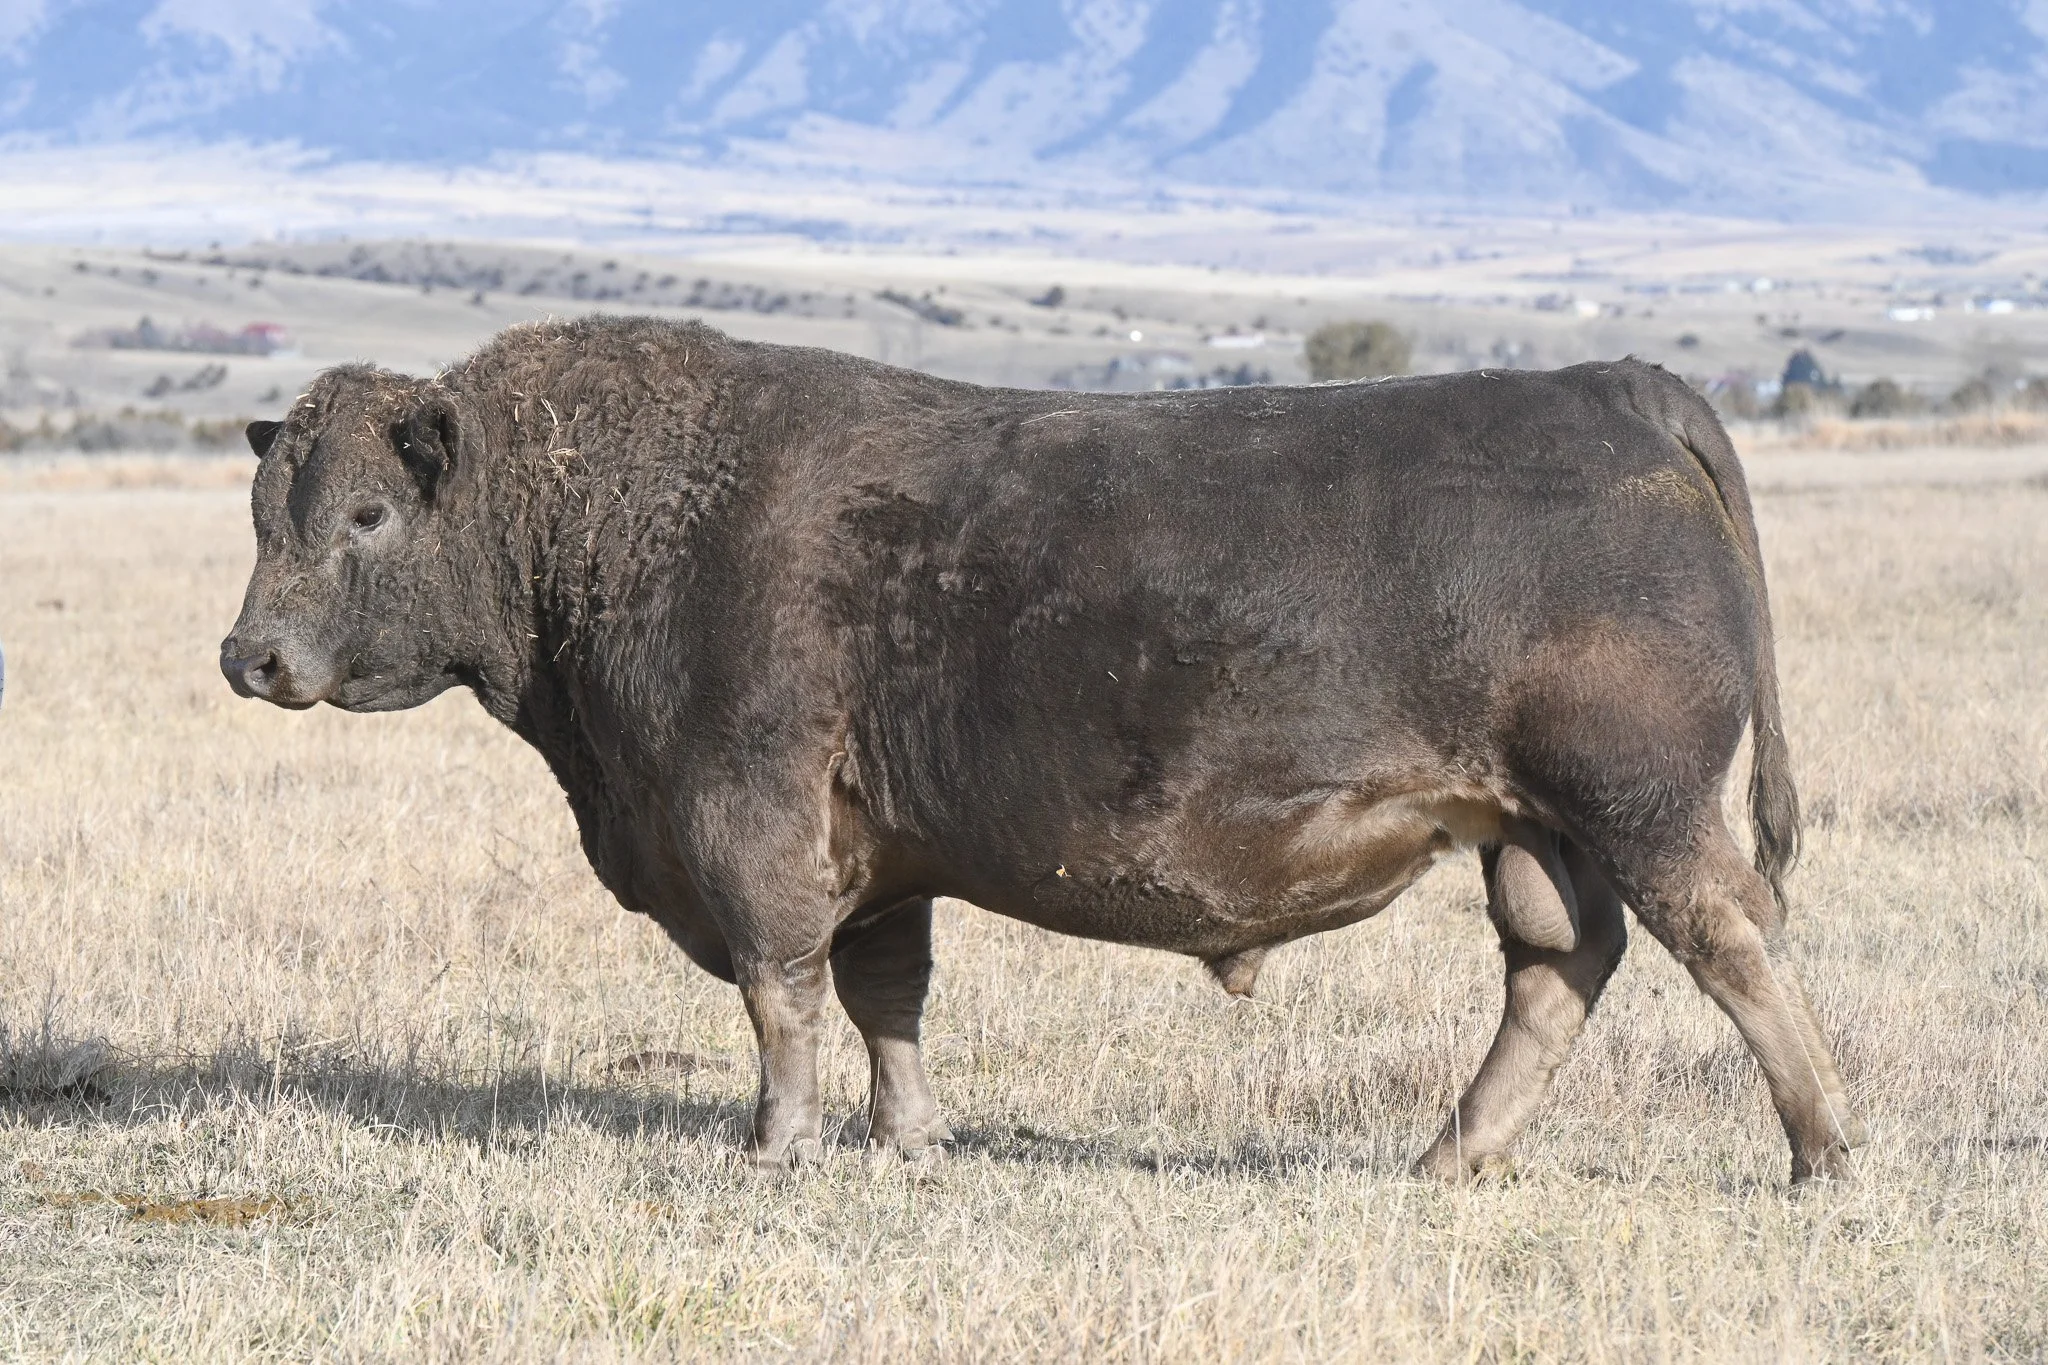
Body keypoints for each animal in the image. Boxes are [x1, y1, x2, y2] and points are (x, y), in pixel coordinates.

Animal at [220, 317, 1864, 1183]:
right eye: (263, 510)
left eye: (364, 514)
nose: (253, 658)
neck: (619, 513)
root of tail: (1604, 381)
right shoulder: (878, 854)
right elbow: (885, 996)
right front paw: (907, 1140)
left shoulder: (744, 818)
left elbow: (780, 993)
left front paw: (776, 1144)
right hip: (1535, 824)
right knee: (1557, 967)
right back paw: (1448, 1155)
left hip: (1640, 801)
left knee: (1727, 940)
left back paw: (1818, 1149)